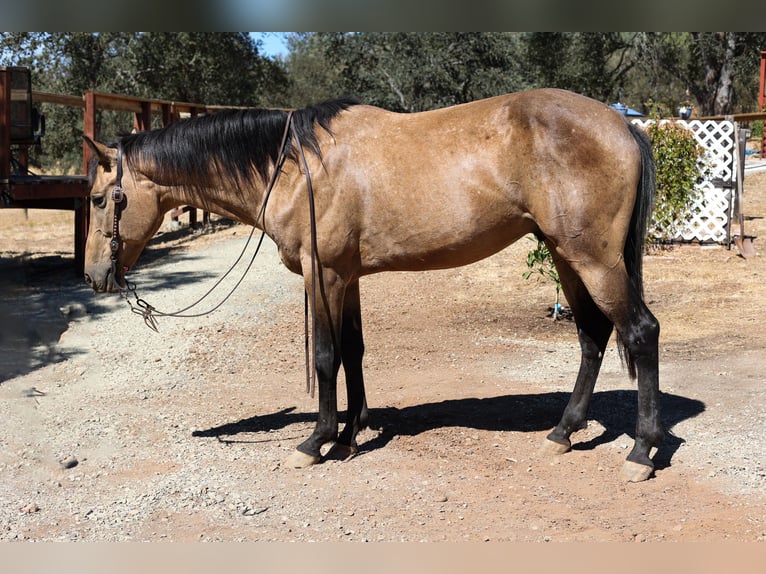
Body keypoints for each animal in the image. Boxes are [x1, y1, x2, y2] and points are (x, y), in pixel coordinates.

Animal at [83, 88, 662, 482]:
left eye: (96, 199)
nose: (93, 276)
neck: (294, 166)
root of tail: (623, 125)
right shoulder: (348, 278)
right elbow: (353, 351)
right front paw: (350, 432)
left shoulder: (322, 275)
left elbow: (324, 356)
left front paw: (316, 441)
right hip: (566, 255)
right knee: (592, 334)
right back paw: (564, 432)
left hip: (594, 259)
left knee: (640, 332)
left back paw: (641, 451)